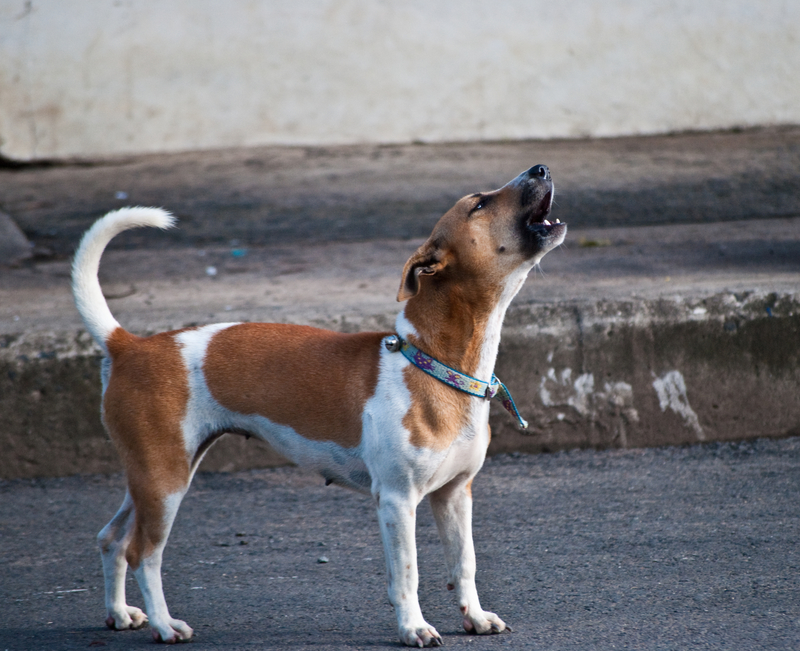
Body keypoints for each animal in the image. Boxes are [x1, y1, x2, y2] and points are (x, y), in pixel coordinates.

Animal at [72, 164, 564, 648]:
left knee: (111, 538)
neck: (432, 364)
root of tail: (128, 346)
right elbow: (407, 575)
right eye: (479, 204)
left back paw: (120, 613)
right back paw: (164, 624)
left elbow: (464, 564)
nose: (540, 168)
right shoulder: (397, 501)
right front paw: (413, 628)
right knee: (142, 554)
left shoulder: (455, 496)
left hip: (153, 477)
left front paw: (475, 617)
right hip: (165, 482)